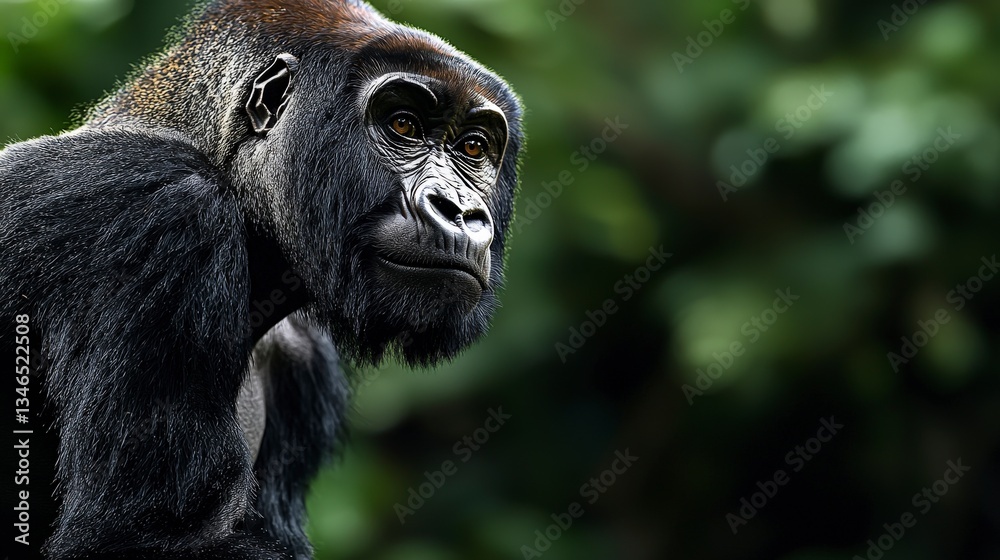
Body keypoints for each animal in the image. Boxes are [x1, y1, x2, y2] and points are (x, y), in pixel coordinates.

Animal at [0, 1, 523, 558]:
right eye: (403, 124)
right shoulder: (170, 210)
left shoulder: (302, 359)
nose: (460, 211)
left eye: (474, 148)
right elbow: (131, 537)